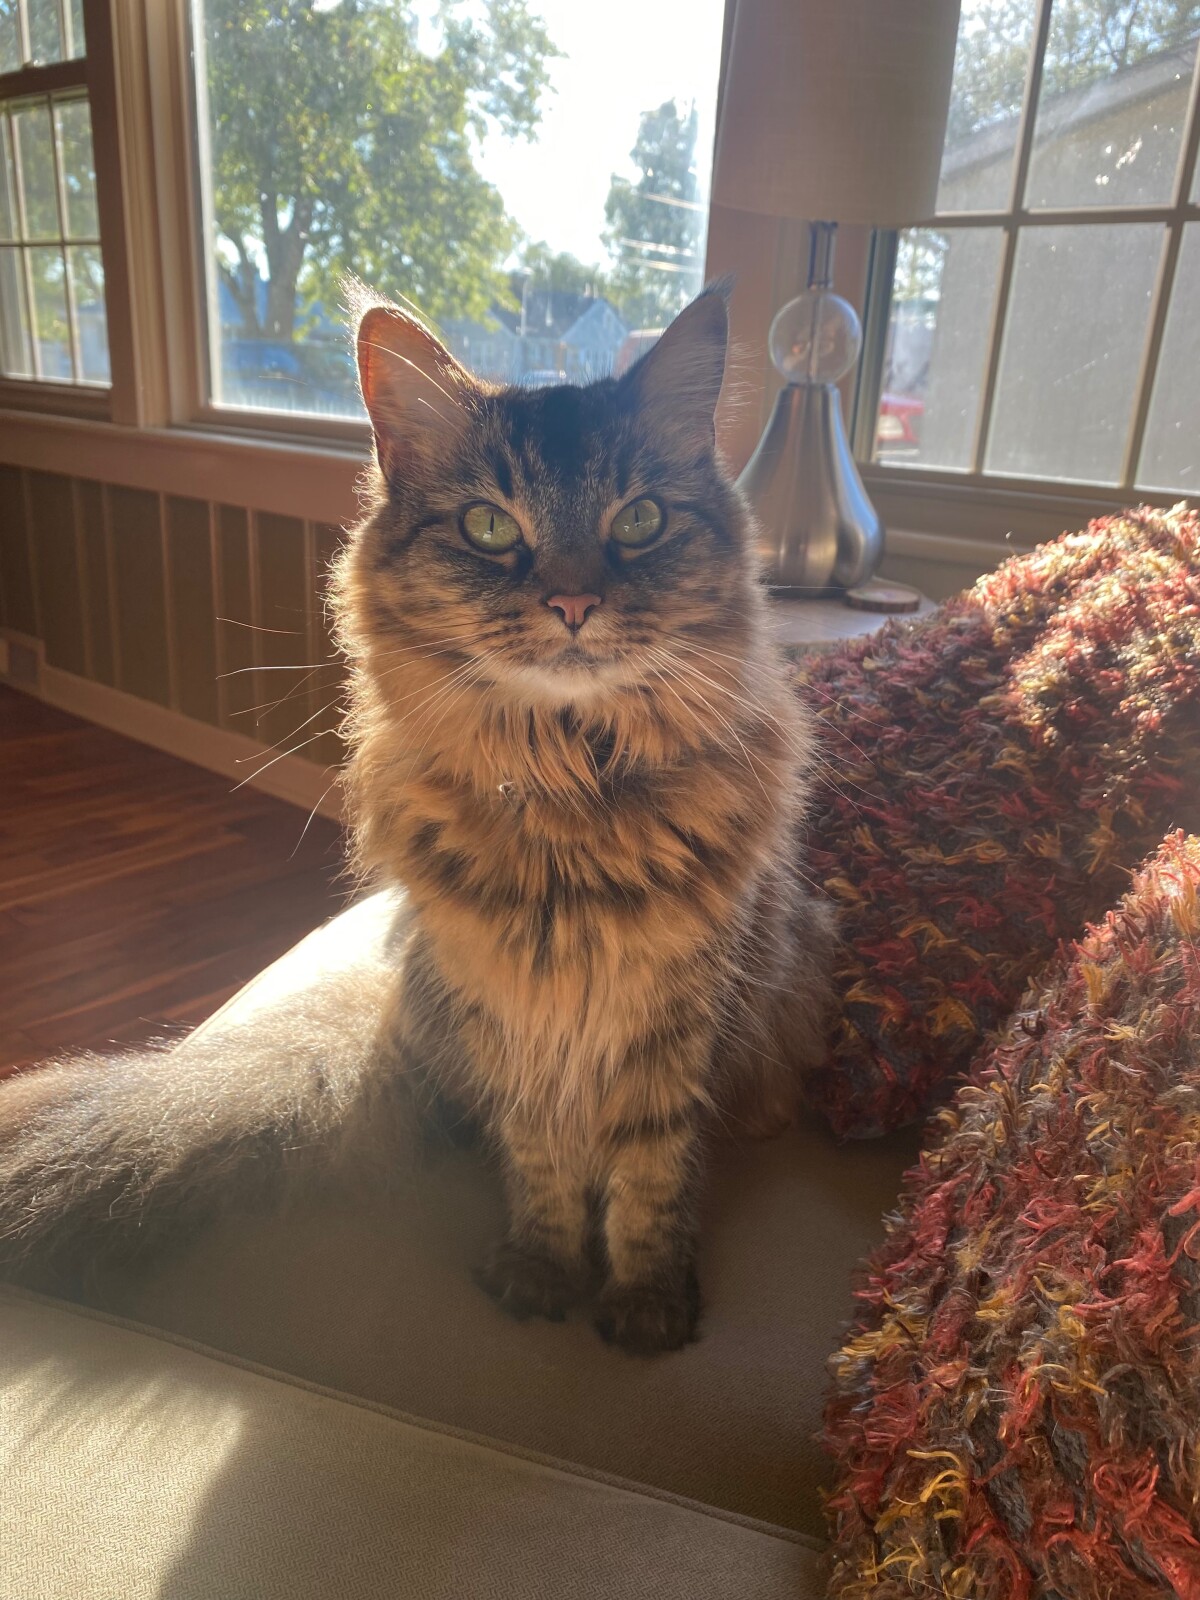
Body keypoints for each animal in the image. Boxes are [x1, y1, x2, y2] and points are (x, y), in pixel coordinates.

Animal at [0, 285, 833, 1355]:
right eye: (489, 526)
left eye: (640, 520)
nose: (573, 602)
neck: (565, 800)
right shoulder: (506, 1016)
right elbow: (543, 1165)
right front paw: (542, 1270)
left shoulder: (674, 1024)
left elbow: (651, 1182)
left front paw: (647, 1303)